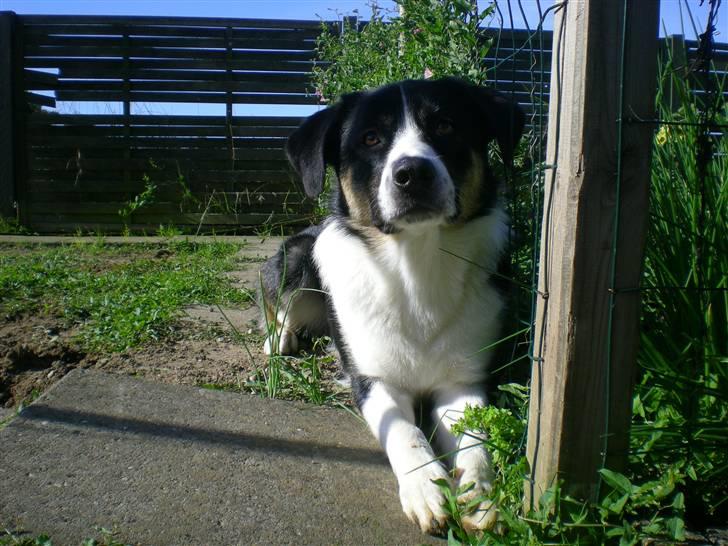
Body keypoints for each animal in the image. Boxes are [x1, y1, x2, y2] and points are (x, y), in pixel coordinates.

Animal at [260, 78, 524, 532]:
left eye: (445, 125)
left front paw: (480, 492)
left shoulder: (463, 381)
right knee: (283, 307)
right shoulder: (373, 379)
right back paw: (280, 340)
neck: (415, 267)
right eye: (371, 138)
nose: (412, 173)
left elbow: (476, 439)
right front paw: (426, 488)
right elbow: (404, 431)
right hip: (297, 257)